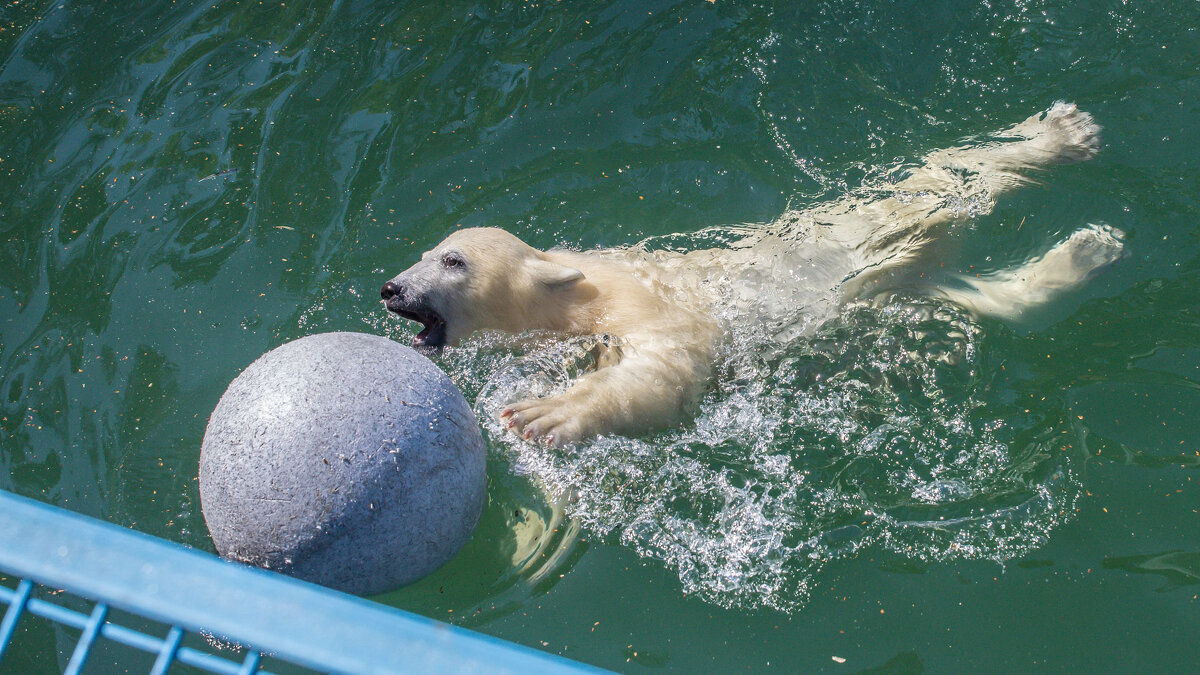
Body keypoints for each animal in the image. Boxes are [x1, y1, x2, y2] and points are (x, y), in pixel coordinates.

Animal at [381, 100, 1123, 446]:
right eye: (426, 251)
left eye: (452, 259)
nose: (392, 287)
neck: (576, 287)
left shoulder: (645, 302)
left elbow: (664, 373)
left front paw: (546, 412)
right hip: (914, 279)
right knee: (995, 296)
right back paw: (1089, 247)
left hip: (884, 215)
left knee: (952, 175)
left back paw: (1066, 137)